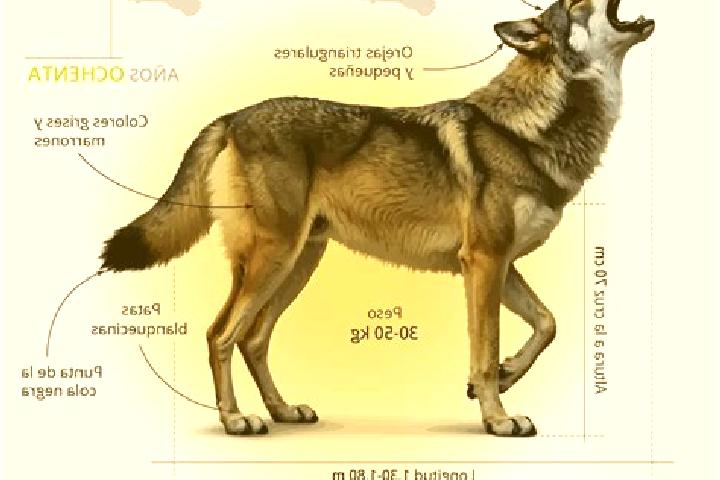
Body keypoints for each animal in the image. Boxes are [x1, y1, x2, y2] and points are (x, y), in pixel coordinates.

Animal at [100, 0, 653, 437]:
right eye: (576, 2)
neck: (531, 129)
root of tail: (232, 118)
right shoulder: (483, 262)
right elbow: (486, 345)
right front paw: (498, 419)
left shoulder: (498, 264)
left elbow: (546, 323)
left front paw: (504, 374)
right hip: (274, 260)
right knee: (221, 335)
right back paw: (237, 420)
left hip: (299, 263)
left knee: (253, 339)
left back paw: (282, 411)